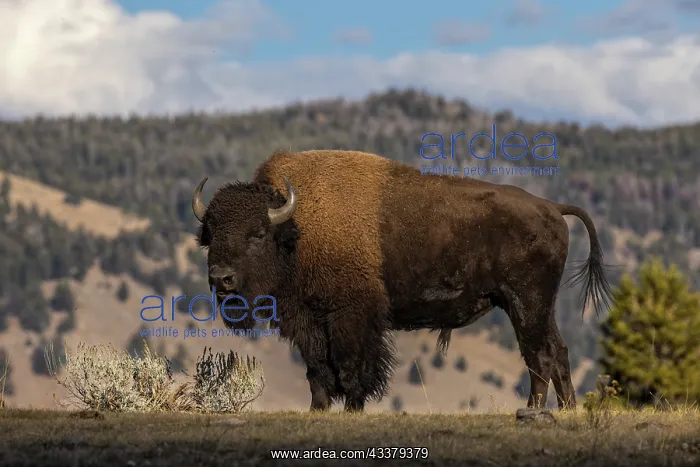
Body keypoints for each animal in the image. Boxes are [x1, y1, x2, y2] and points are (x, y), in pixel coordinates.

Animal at [191, 149, 614, 412]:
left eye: (258, 234)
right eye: (209, 234)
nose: (221, 279)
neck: (297, 228)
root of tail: (552, 208)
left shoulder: (352, 319)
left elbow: (352, 367)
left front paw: (354, 409)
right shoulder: (307, 320)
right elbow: (318, 370)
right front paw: (318, 409)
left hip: (526, 303)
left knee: (539, 354)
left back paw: (534, 410)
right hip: (536, 306)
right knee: (556, 352)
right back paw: (567, 409)